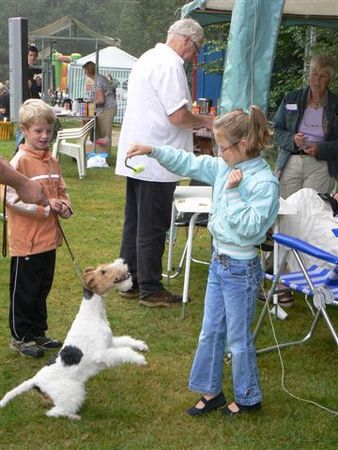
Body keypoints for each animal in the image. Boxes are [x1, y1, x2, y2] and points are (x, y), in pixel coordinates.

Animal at [0, 258, 148, 420]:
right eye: (103, 271)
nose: (122, 261)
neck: (93, 313)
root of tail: (36, 381)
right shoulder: (100, 354)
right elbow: (124, 352)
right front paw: (140, 360)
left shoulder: (110, 342)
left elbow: (127, 341)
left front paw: (142, 346)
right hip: (73, 390)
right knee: (56, 411)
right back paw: (74, 417)